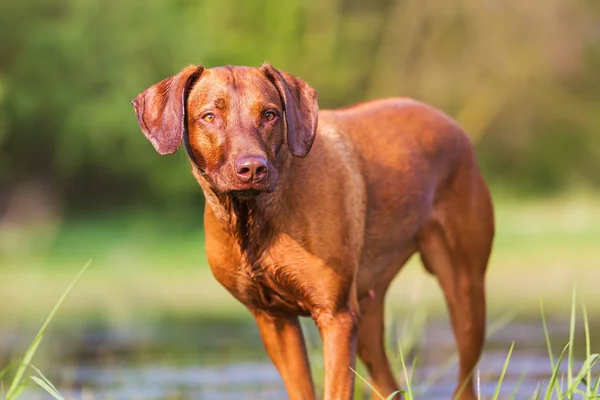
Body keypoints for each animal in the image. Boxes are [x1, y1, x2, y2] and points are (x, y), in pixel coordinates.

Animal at [134, 64, 494, 398]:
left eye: (270, 114)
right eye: (209, 116)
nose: (252, 169)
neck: (252, 219)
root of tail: (453, 124)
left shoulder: (336, 316)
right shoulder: (273, 318)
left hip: (464, 289)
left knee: (465, 379)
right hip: (368, 309)